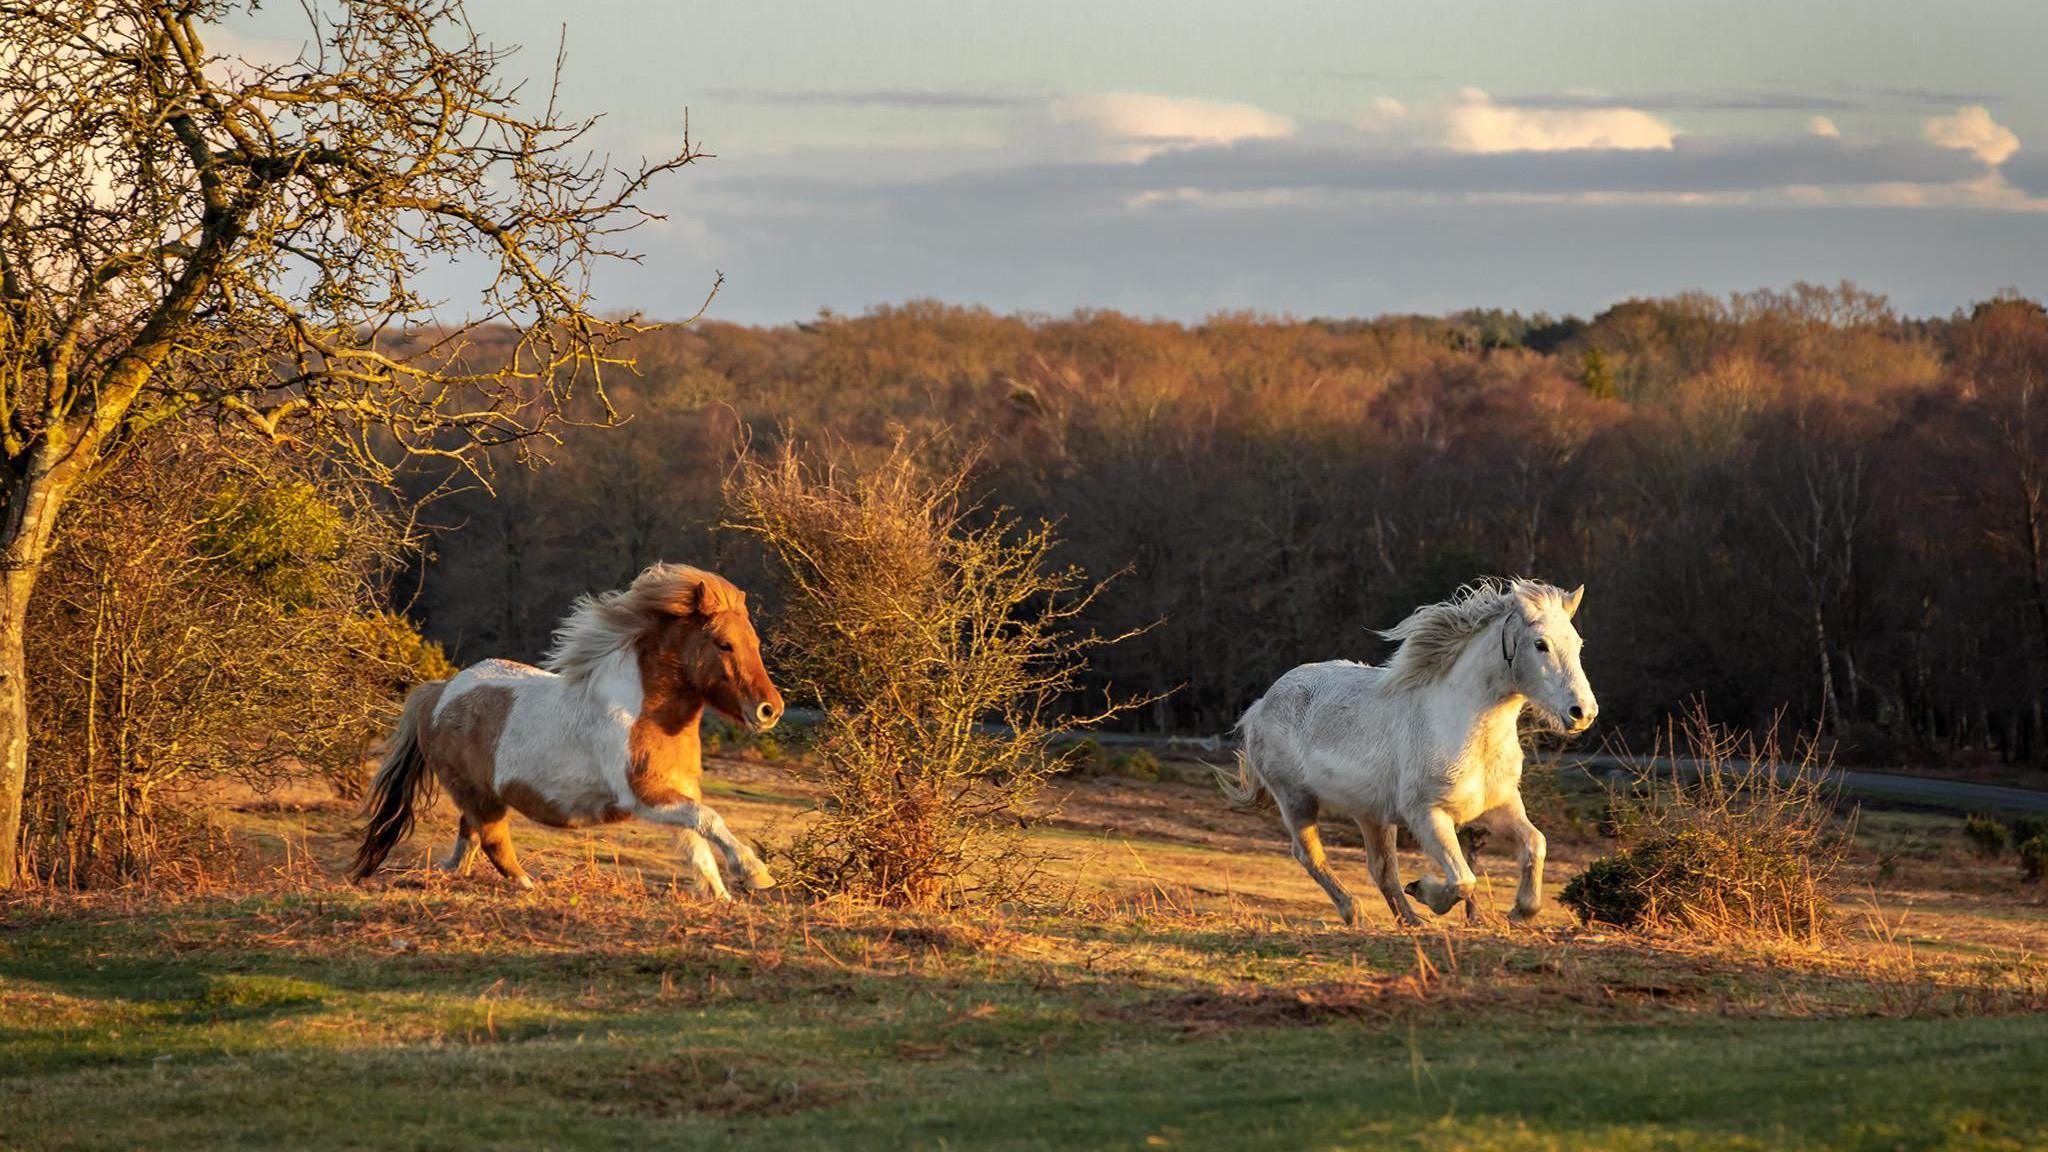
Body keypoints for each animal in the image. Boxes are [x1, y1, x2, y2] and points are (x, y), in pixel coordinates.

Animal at [352, 561, 782, 893]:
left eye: (755, 642)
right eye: (724, 644)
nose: (769, 710)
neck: (643, 713)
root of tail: (440, 694)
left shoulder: (678, 790)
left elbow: (698, 846)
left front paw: (722, 897)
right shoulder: (642, 796)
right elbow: (709, 820)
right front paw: (755, 873)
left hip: (480, 796)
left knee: (468, 837)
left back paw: (453, 874)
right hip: (478, 795)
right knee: (492, 841)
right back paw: (527, 886)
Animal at [1212, 573, 1597, 922]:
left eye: (1579, 644)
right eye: (1541, 644)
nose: (1582, 712)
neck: (1459, 724)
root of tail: (1261, 704)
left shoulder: (1498, 806)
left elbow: (1536, 844)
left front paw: (1520, 911)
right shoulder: (1427, 815)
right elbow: (1463, 880)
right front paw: (1425, 890)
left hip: (1371, 815)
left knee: (1381, 869)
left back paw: (1410, 920)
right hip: (1297, 800)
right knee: (1310, 856)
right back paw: (1356, 912)